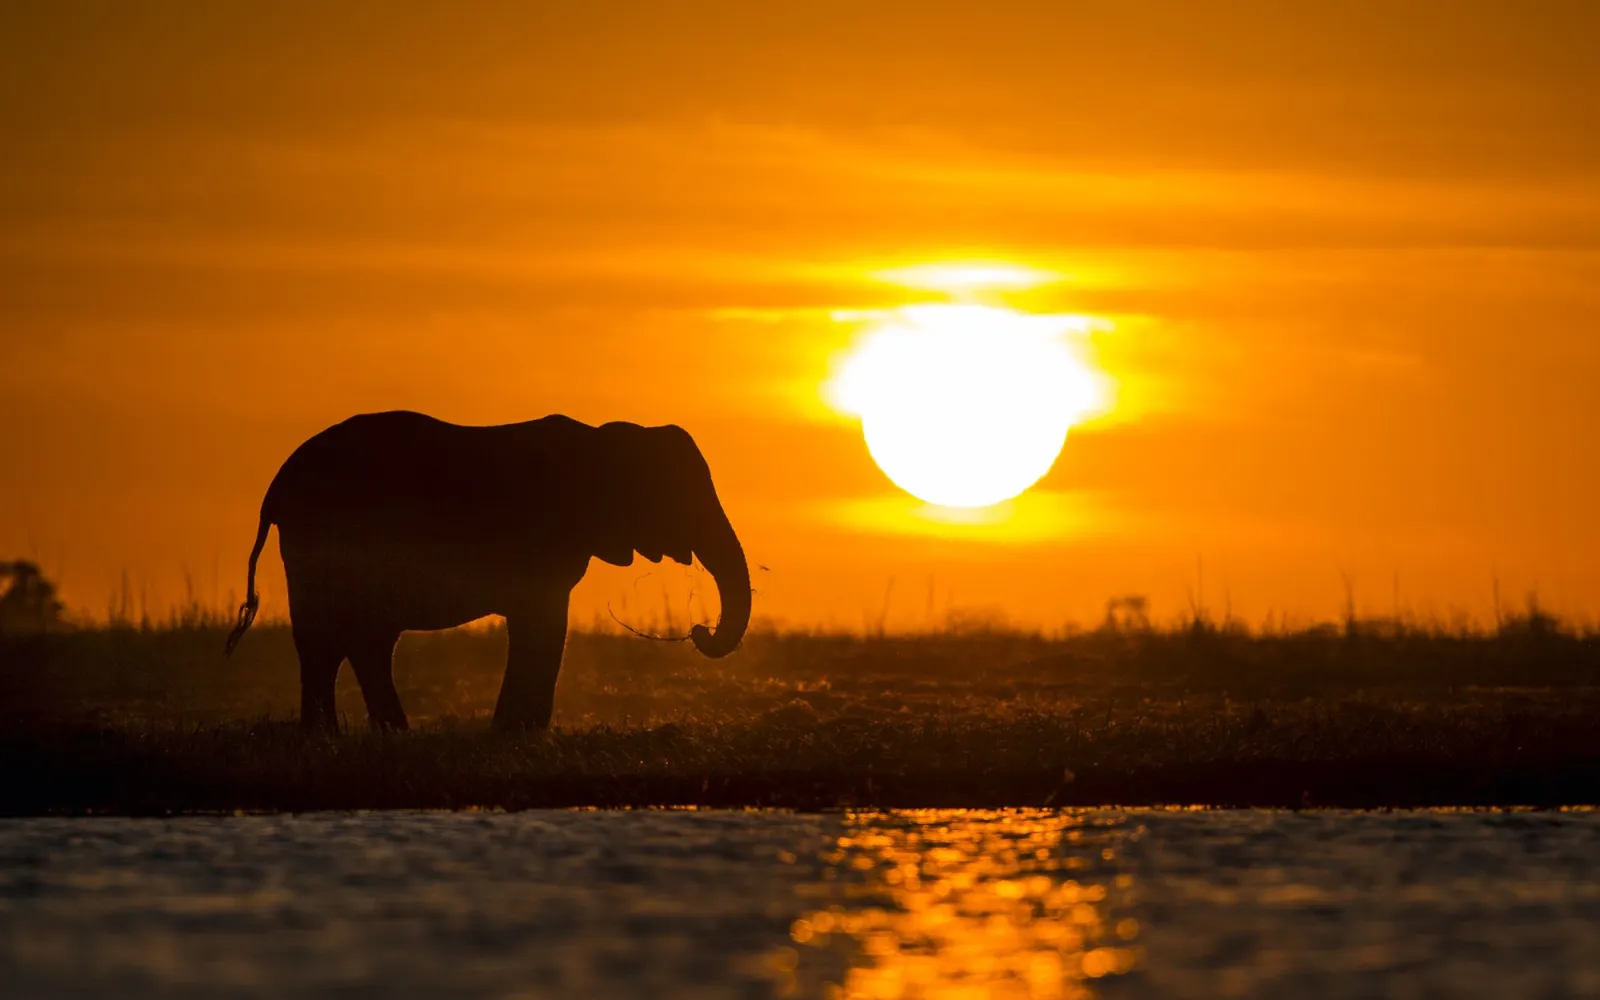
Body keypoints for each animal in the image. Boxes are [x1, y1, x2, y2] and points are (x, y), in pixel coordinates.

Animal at [224, 410, 750, 732]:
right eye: (679, 496)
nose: (699, 630)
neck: (603, 438)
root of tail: (276, 485)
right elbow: (542, 623)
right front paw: (519, 736)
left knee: (352, 640)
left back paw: (370, 735)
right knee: (335, 637)